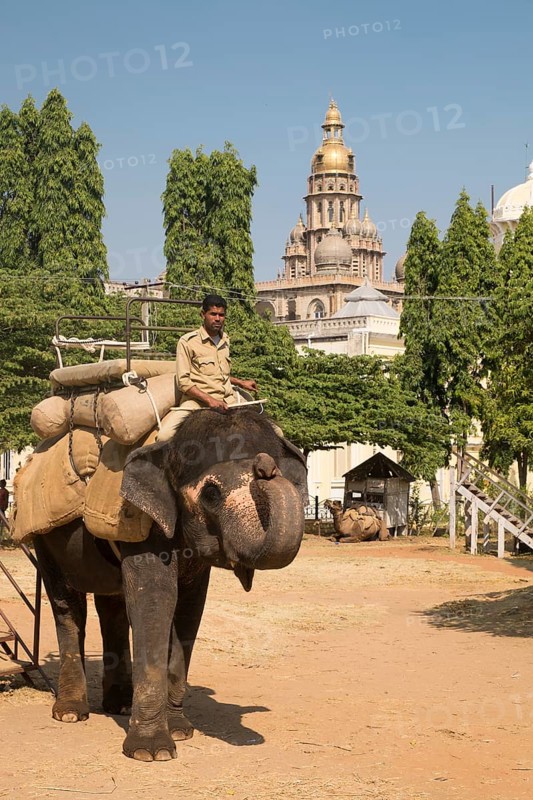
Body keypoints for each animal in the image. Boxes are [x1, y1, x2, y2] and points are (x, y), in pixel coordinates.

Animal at [33, 407, 307, 761]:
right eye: (211, 493)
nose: (266, 467)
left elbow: (189, 609)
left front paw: (180, 730)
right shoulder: (141, 522)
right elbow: (156, 600)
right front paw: (152, 752)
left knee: (113, 608)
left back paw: (120, 706)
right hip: (46, 539)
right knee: (67, 605)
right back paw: (70, 713)